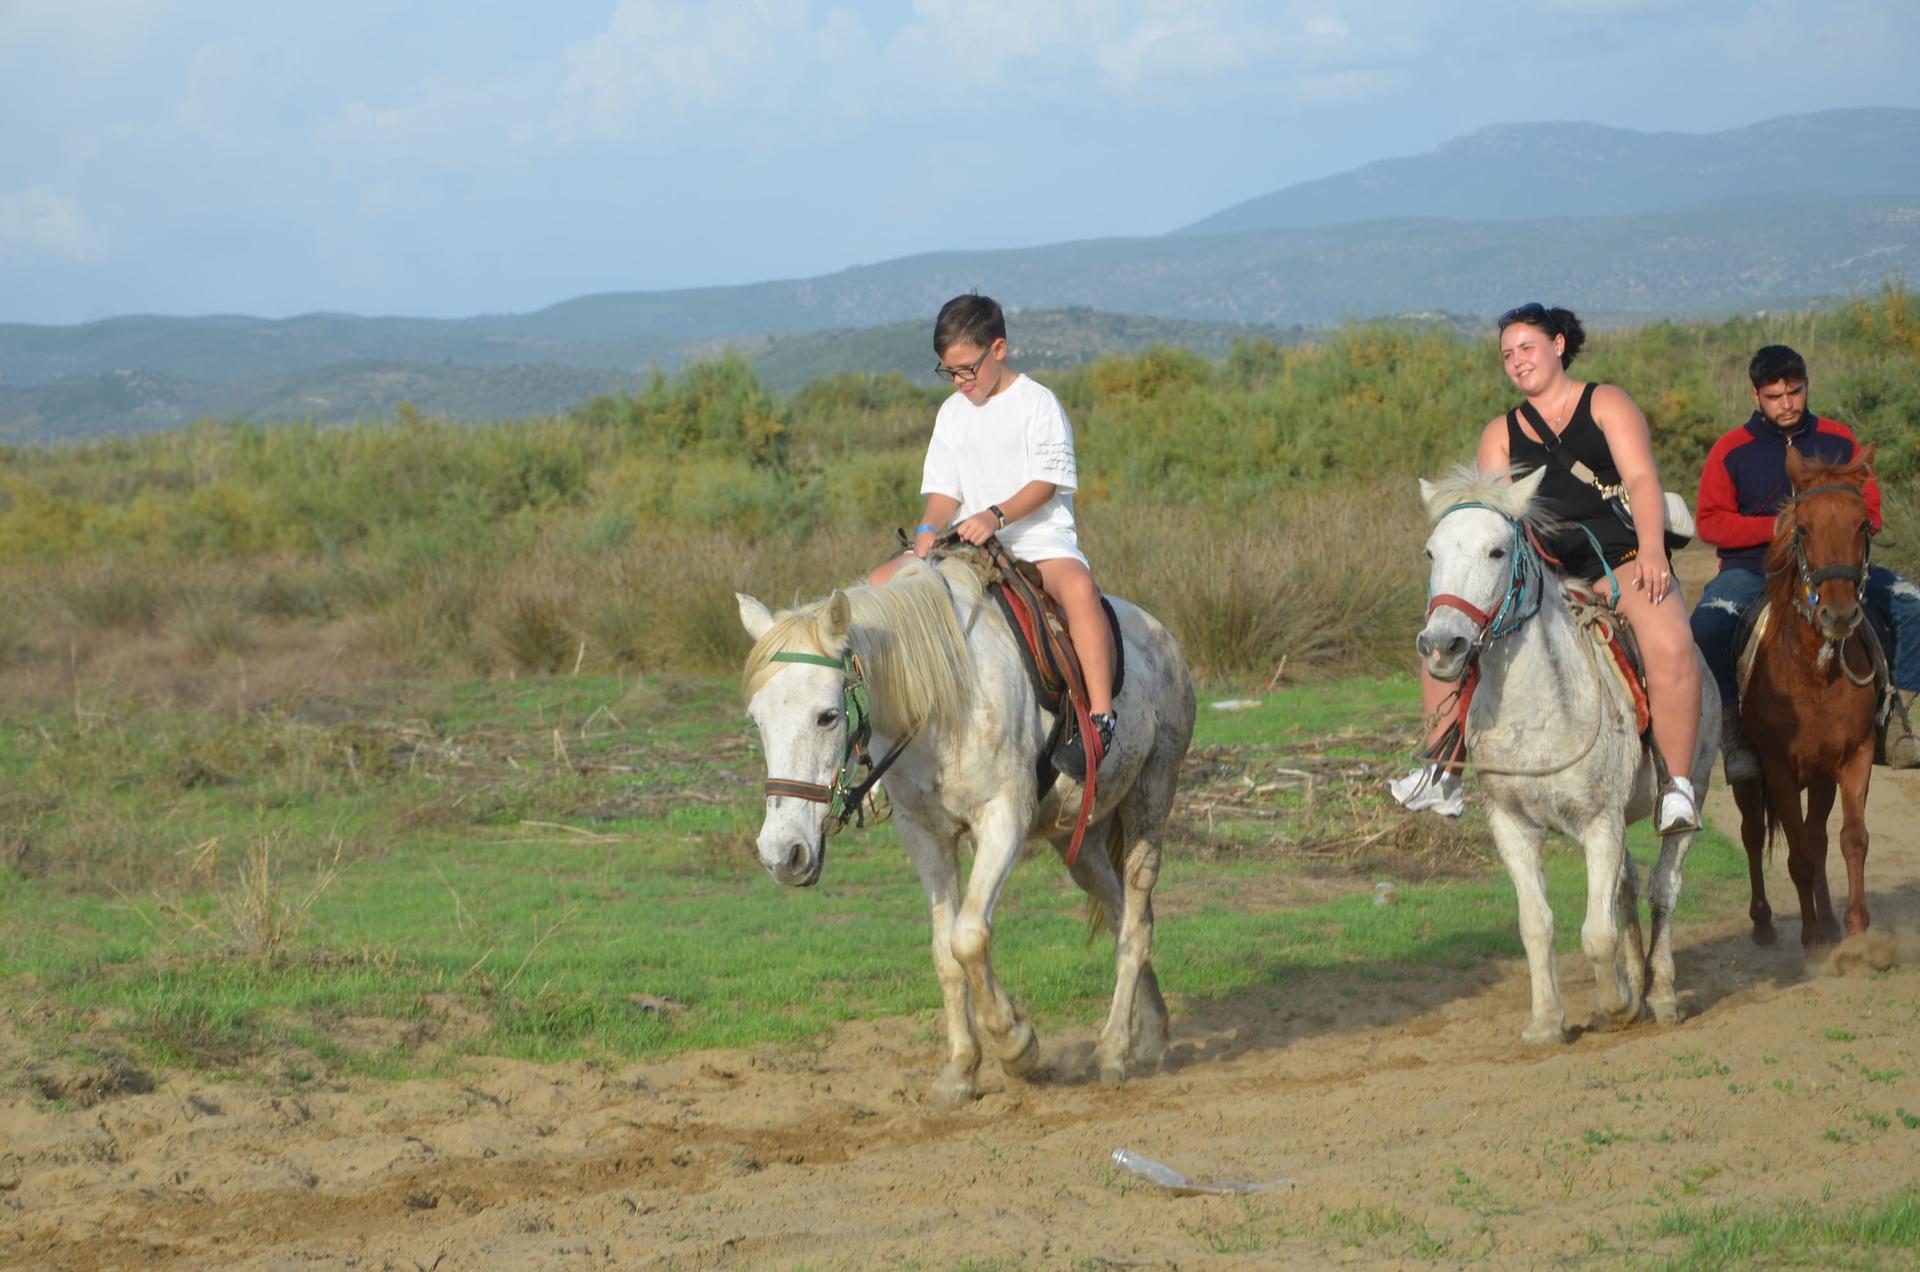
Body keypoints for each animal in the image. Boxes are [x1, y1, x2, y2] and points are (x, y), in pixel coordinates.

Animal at [735, 551, 1196, 1105]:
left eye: (827, 716)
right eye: (758, 721)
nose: (782, 853)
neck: (940, 699)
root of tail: (1164, 639)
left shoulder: (1003, 819)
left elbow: (970, 937)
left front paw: (1016, 1044)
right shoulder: (924, 834)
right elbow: (945, 951)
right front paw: (960, 1067)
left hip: (1152, 796)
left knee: (1137, 924)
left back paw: (1112, 1050)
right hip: (1078, 840)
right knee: (1120, 911)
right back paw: (1149, 1036)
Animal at [1416, 466, 1719, 1042]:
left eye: (1496, 551)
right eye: (1431, 552)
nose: (1442, 645)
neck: (1537, 712)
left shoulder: (1600, 822)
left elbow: (1596, 934)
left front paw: (1618, 1005)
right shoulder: (1514, 826)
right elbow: (1537, 925)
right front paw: (1546, 1020)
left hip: (1687, 798)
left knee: (1664, 889)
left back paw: (1660, 994)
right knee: (1626, 888)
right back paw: (1637, 981)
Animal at [1731, 444, 1882, 948]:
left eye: (1863, 525)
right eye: (1802, 528)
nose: (1839, 614)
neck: (1815, 675)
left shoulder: (1853, 756)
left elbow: (1851, 839)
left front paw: (1854, 926)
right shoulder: (1777, 767)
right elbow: (1794, 854)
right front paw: (1812, 937)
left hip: (1819, 777)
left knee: (1817, 838)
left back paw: (1831, 920)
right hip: (1749, 778)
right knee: (1753, 834)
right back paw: (1761, 922)